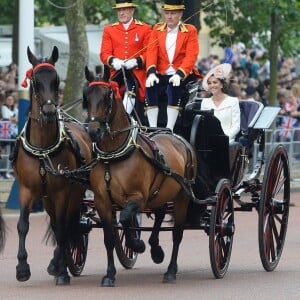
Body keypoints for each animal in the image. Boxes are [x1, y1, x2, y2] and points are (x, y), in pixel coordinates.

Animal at [11, 45, 92, 284]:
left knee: (65, 224)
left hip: (74, 192)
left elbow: (63, 228)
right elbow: (23, 225)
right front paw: (22, 268)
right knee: (57, 224)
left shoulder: (62, 192)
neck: (43, 149)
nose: (48, 112)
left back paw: (60, 263)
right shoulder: (27, 190)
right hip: (47, 198)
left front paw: (61, 268)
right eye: (36, 81)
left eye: (56, 80)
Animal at [84, 67, 197, 286]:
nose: (94, 132)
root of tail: (178, 137)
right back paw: (155, 248)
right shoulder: (103, 201)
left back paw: (170, 270)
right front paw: (110, 274)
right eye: (86, 97)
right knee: (160, 213)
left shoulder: (138, 197)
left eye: (107, 96)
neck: (114, 156)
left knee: (177, 233)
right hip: (161, 192)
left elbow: (126, 218)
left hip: (182, 197)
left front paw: (137, 244)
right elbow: (111, 236)